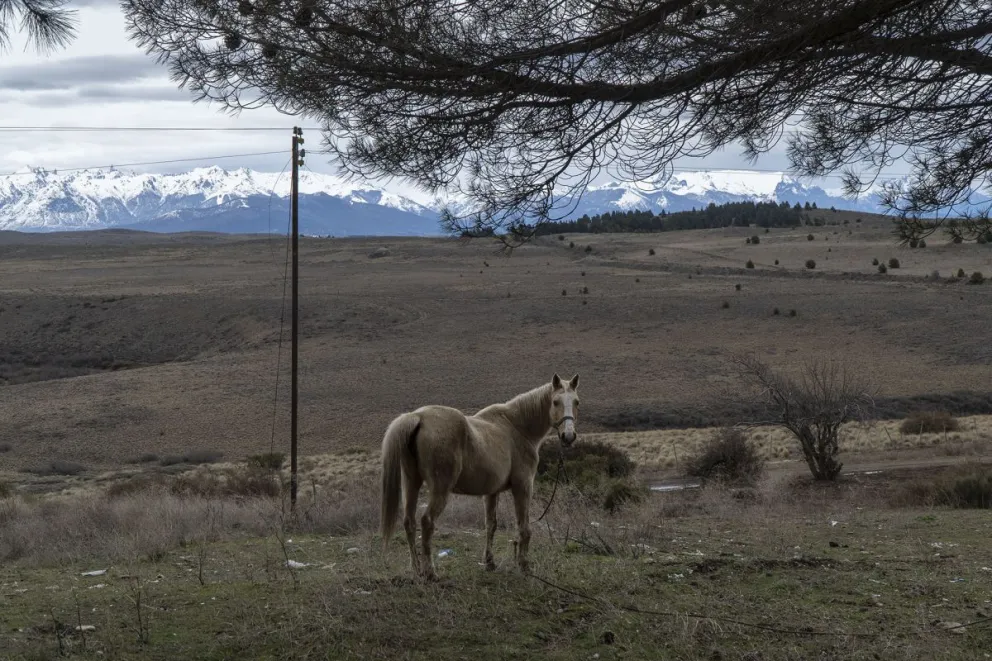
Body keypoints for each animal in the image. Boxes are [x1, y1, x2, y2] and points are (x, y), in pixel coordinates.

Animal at [380, 373, 580, 580]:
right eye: (555, 402)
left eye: (576, 402)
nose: (568, 436)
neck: (517, 427)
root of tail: (418, 417)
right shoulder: (523, 487)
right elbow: (524, 528)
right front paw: (524, 566)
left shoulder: (492, 492)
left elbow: (491, 525)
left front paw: (490, 562)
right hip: (439, 489)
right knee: (426, 522)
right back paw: (430, 572)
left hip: (411, 483)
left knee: (409, 522)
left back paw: (416, 569)